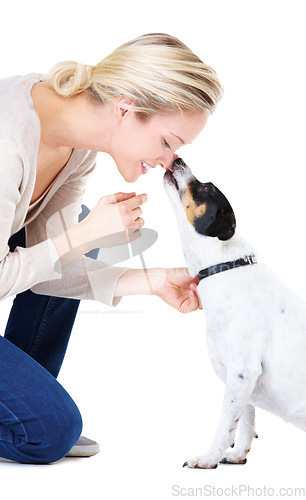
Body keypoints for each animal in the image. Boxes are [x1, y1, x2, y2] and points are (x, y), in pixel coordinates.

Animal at [164, 159, 306, 468]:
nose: (178, 159)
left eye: (206, 188)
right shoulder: (243, 379)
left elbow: (226, 423)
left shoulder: (242, 371)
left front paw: (208, 458)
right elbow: (246, 418)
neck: (224, 267)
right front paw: (238, 453)